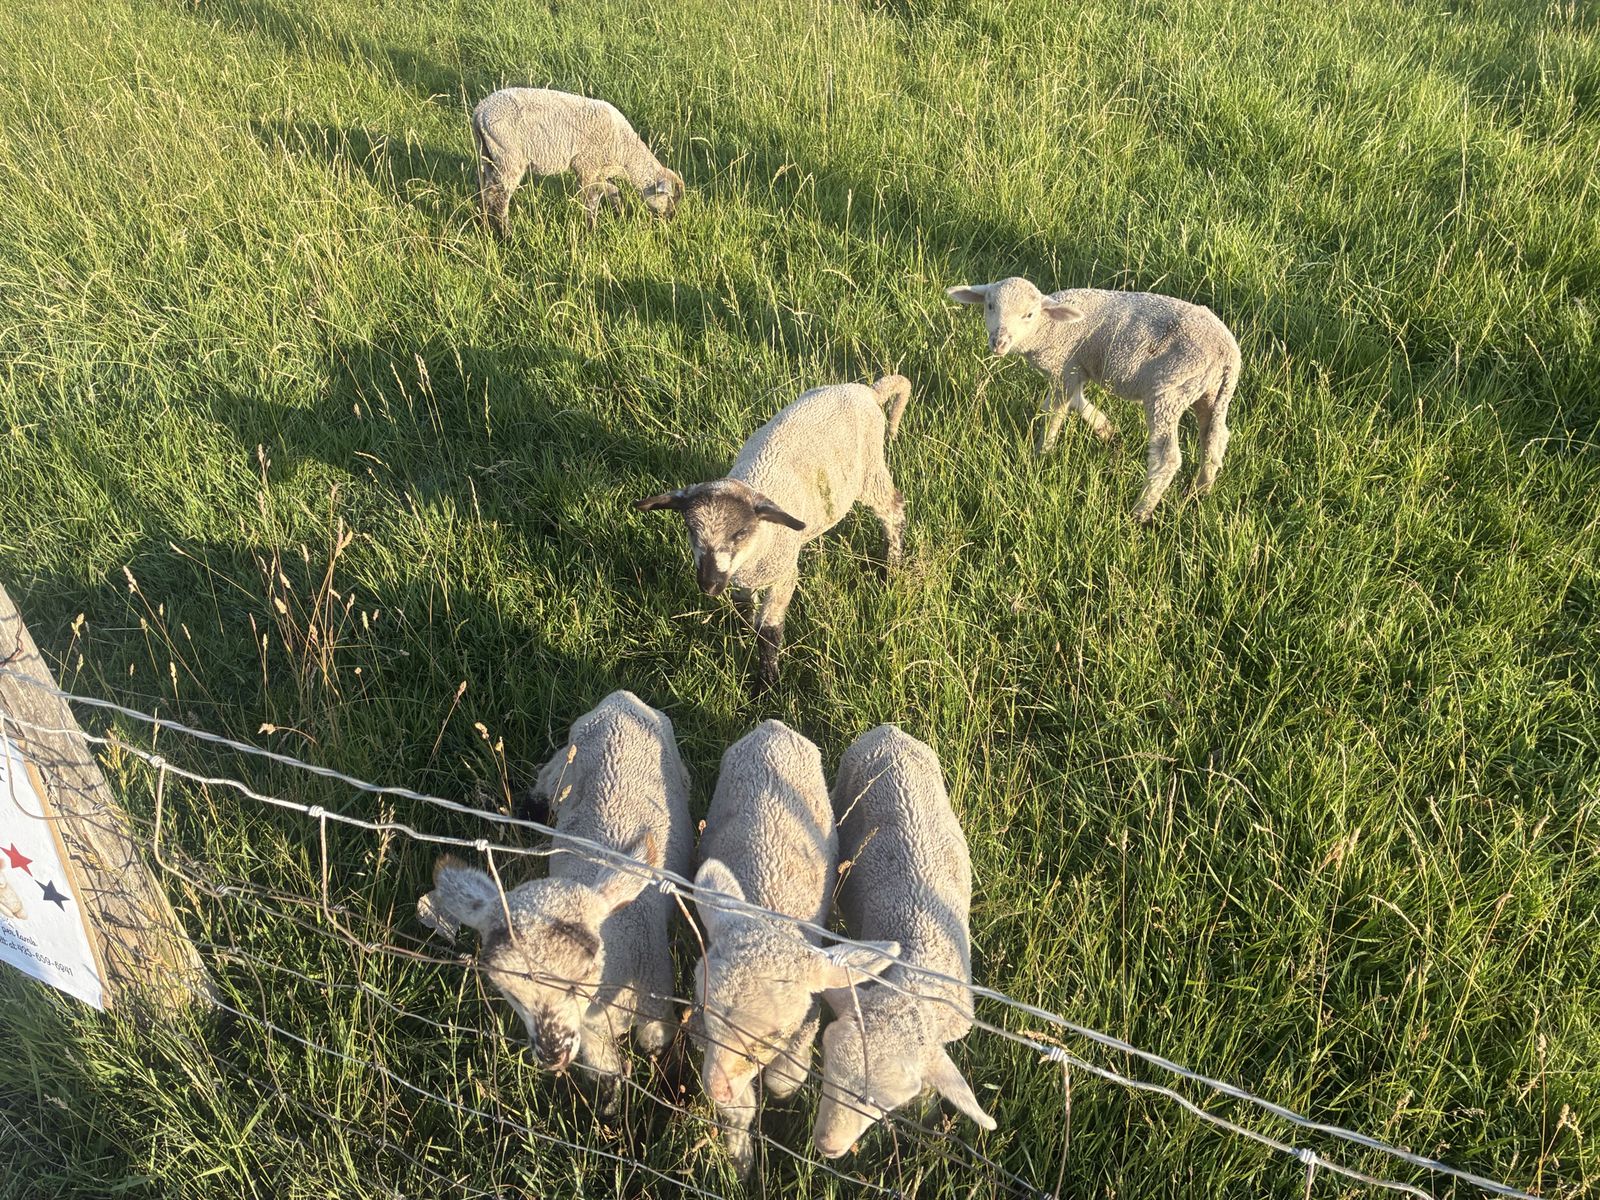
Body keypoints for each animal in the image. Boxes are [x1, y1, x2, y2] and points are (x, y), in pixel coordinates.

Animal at [419, 690, 692, 1101]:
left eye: (583, 974)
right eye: (509, 992)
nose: (552, 1054)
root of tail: (619, 701)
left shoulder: (657, 1005)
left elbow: (659, 1049)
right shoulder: (590, 1038)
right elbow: (606, 1076)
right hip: (564, 762)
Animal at [470, 88, 684, 235]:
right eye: (670, 198)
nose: (670, 219)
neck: (626, 153)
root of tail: (479, 113)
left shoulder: (598, 170)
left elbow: (612, 191)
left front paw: (620, 213)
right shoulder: (586, 166)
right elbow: (591, 200)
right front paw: (591, 231)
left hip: (488, 155)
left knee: (486, 191)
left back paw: (485, 227)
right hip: (508, 157)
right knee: (499, 199)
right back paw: (508, 234)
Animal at [634, 374, 912, 692]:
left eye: (740, 532)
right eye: (690, 530)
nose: (709, 586)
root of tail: (867, 391)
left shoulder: (783, 575)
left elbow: (769, 631)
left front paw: (767, 685)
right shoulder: (742, 578)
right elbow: (744, 610)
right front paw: (742, 635)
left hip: (869, 470)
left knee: (892, 508)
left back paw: (892, 566)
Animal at [691, 719, 900, 1175]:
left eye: (772, 1033)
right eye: (703, 1010)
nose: (714, 1089)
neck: (770, 909)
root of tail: (773, 727)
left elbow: (785, 1080)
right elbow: (741, 1109)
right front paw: (741, 1158)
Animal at [946, 277, 1240, 520]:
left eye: (1029, 314)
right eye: (989, 306)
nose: (999, 342)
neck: (1048, 328)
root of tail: (1227, 352)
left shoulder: (1064, 365)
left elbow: (1056, 412)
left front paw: (1043, 452)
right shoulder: (1073, 368)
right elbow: (1073, 401)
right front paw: (1107, 430)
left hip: (1170, 389)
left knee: (1167, 457)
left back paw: (1141, 511)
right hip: (1209, 391)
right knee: (1214, 438)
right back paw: (1201, 490)